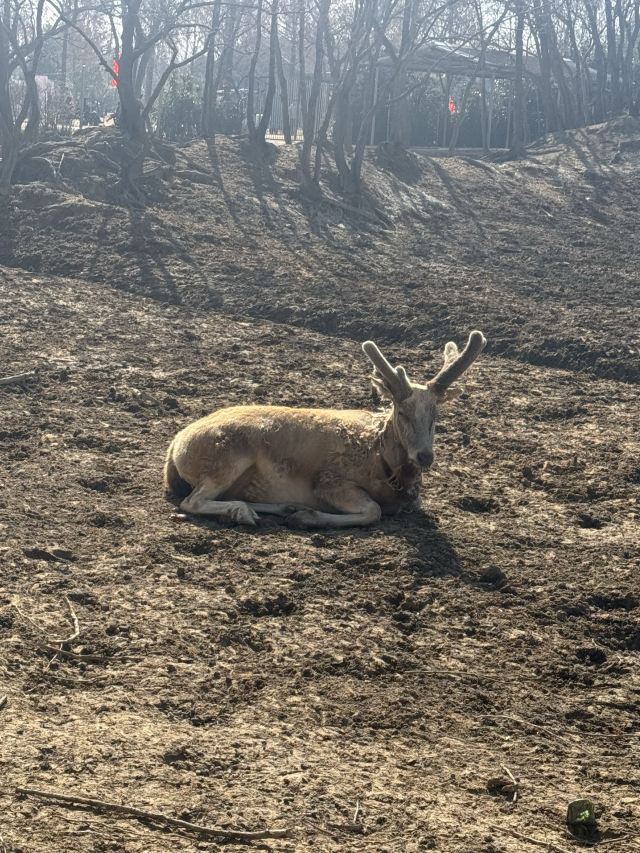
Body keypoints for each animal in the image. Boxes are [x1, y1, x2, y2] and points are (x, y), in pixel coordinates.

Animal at [164, 331, 487, 529]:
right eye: (402, 412)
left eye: (435, 414)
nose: (424, 456)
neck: (382, 461)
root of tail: (174, 449)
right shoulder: (330, 480)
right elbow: (373, 510)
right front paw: (307, 517)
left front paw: (298, 513)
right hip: (227, 457)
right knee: (191, 501)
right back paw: (246, 512)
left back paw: (280, 508)